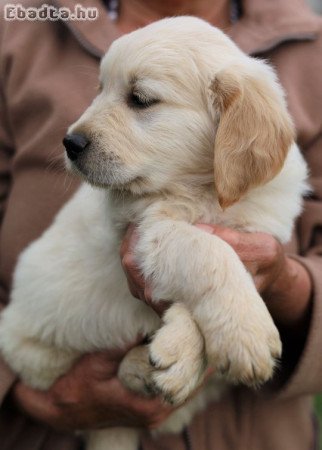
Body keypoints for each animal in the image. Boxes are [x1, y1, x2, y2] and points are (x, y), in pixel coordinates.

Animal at [0, 15, 308, 450]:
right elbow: (210, 252)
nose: (69, 142)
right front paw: (247, 333)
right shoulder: (148, 232)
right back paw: (137, 369)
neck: (201, 186)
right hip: (33, 345)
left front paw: (184, 349)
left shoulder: (258, 234)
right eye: (100, 89)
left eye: (140, 99)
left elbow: (226, 264)